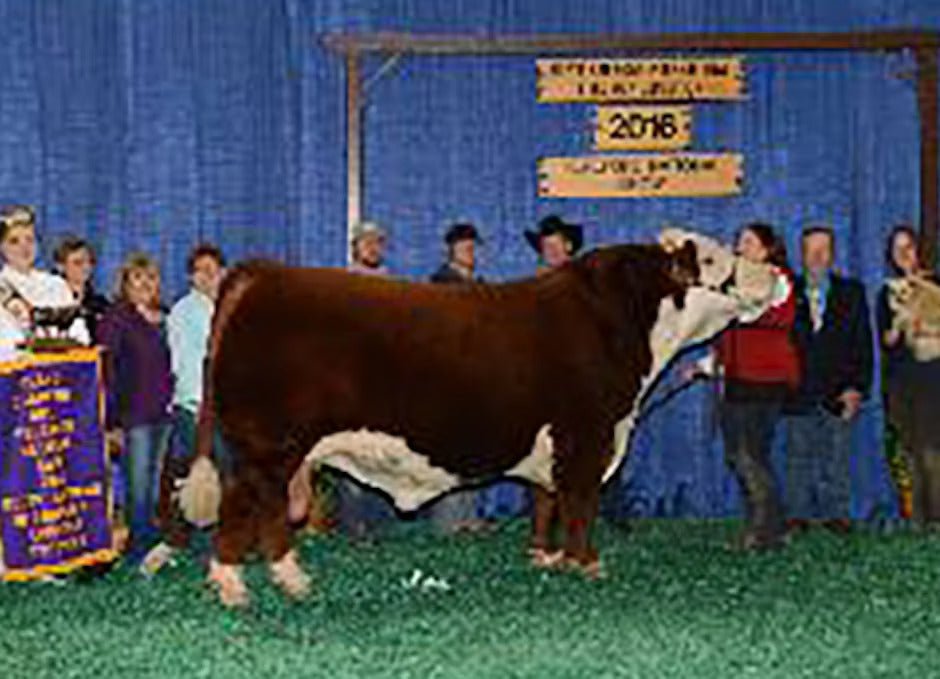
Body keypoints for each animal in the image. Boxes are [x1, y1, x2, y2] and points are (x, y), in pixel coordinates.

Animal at [177, 228, 775, 607]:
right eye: (716, 261)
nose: (773, 270)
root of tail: (262, 273)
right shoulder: (587, 434)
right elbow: (580, 503)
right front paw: (586, 564)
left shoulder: (554, 442)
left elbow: (546, 501)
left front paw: (545, 557)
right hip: (268, 445)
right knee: (245, 503)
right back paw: (238, 586)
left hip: (275, 449)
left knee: (268, 507)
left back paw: (288, 579)